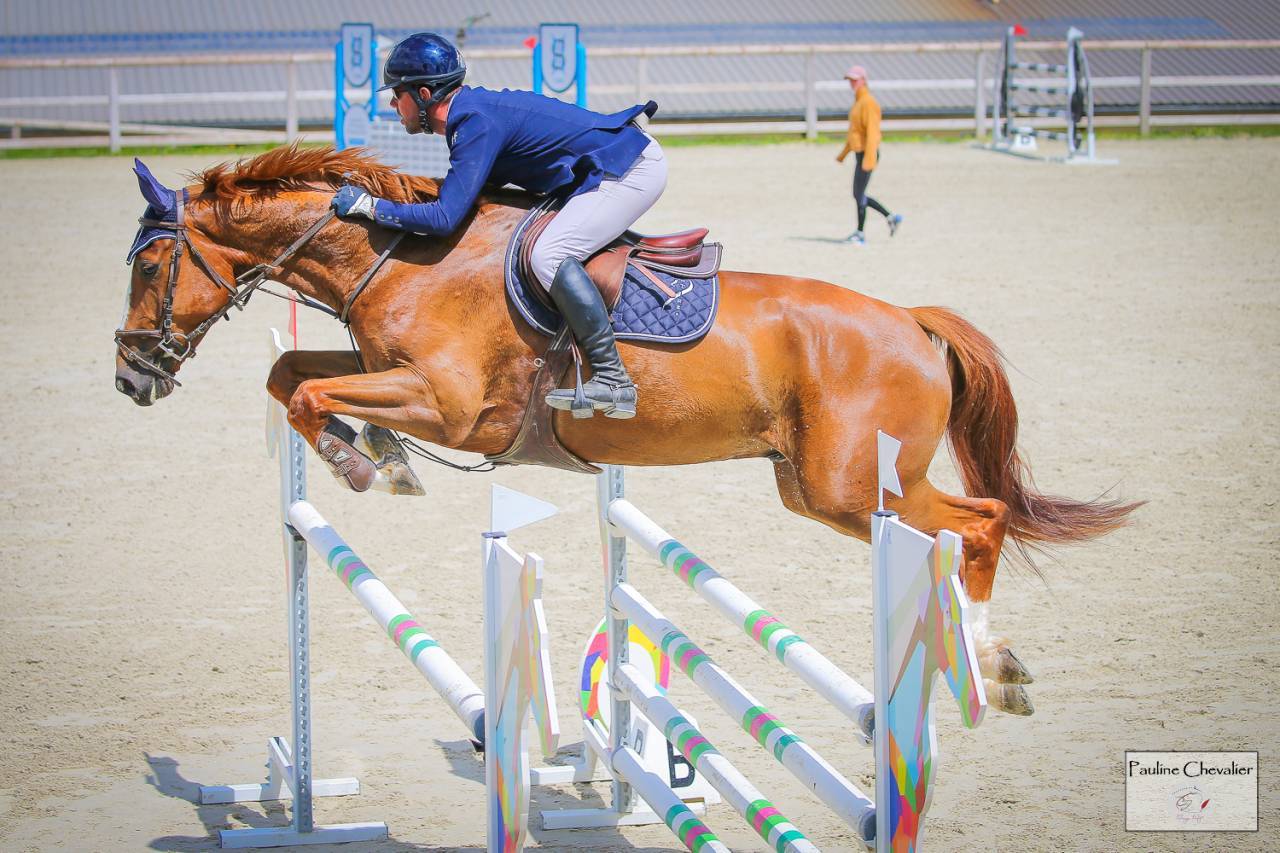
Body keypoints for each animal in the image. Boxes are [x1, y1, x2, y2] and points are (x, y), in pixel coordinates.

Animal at [113, 145, 1139, 716]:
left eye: (152, 265)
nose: (130, 375)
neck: (406, 256)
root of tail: (911, 320)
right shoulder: (388, 370)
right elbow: (290, 375)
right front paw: (378, 455)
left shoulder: (452, 405)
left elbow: (313, 397)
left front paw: (370, 465)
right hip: (817, 484)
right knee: (971, 524)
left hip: (854, 486)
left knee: (979, 522)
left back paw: (993, 664)